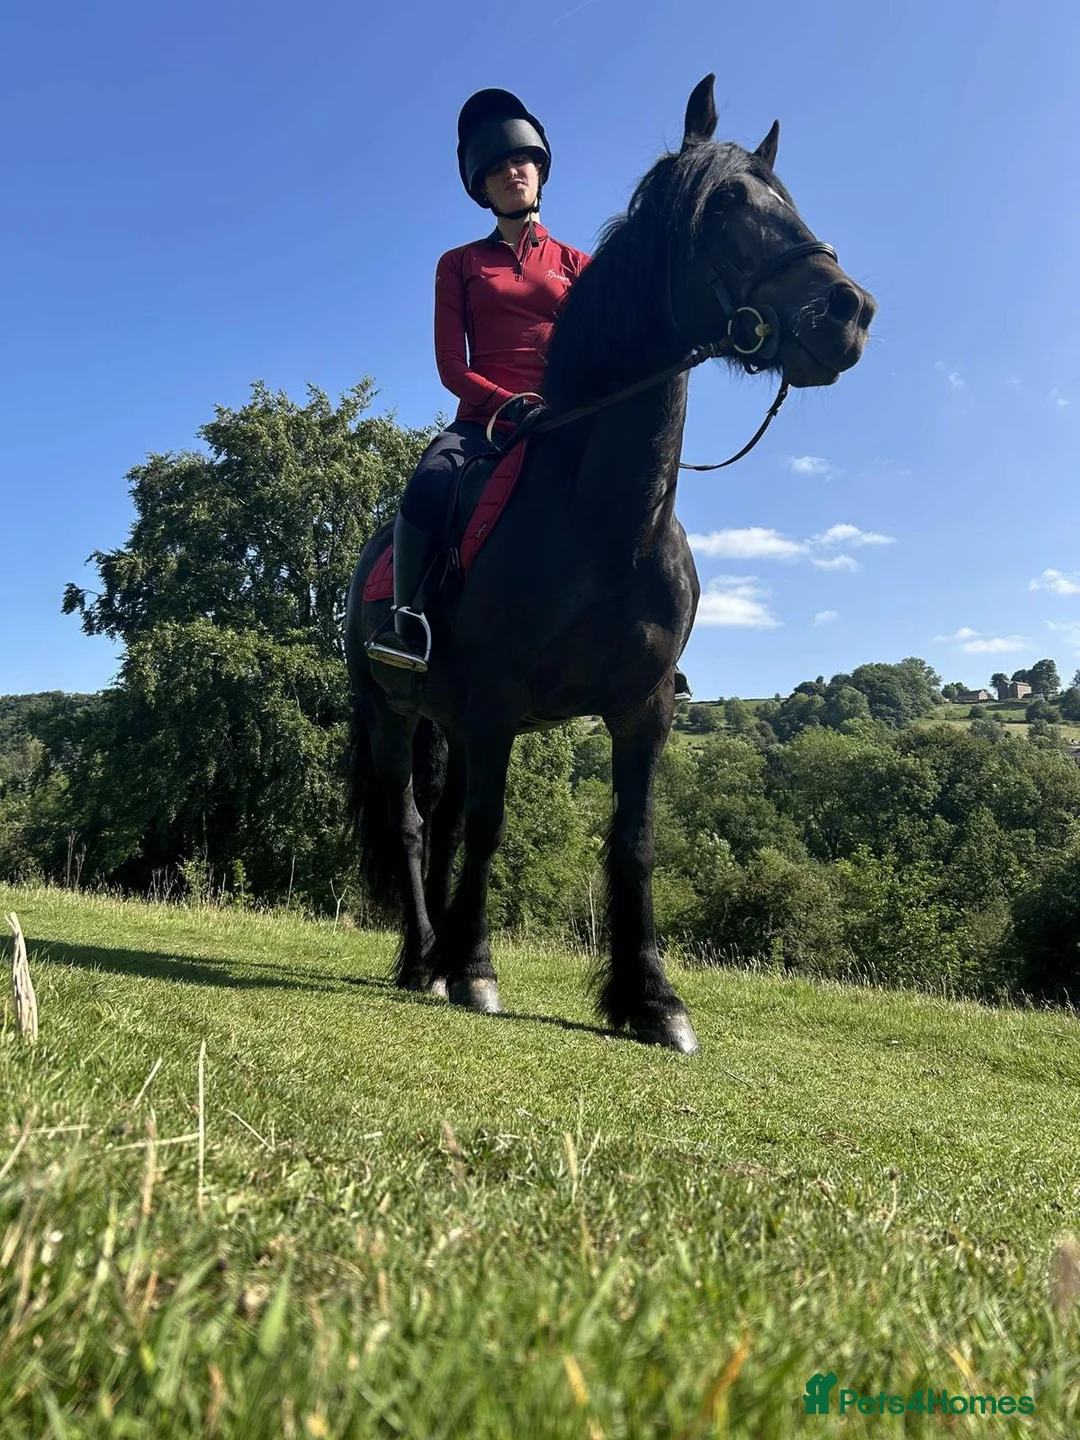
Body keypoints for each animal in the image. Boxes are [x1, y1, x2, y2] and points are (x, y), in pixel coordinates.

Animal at [344, 74, 876, 1054]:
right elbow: (491, 827)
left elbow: (633, 840)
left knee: (442, 822)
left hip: (450, 721)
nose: (848, 311)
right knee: (411, 825)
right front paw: (476, 970)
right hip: (390, 712)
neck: (607, 525)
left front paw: (652, 998)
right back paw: (424, 957)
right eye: (725, 207)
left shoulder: (643, 707)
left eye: (787, 199)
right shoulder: (496, 701)